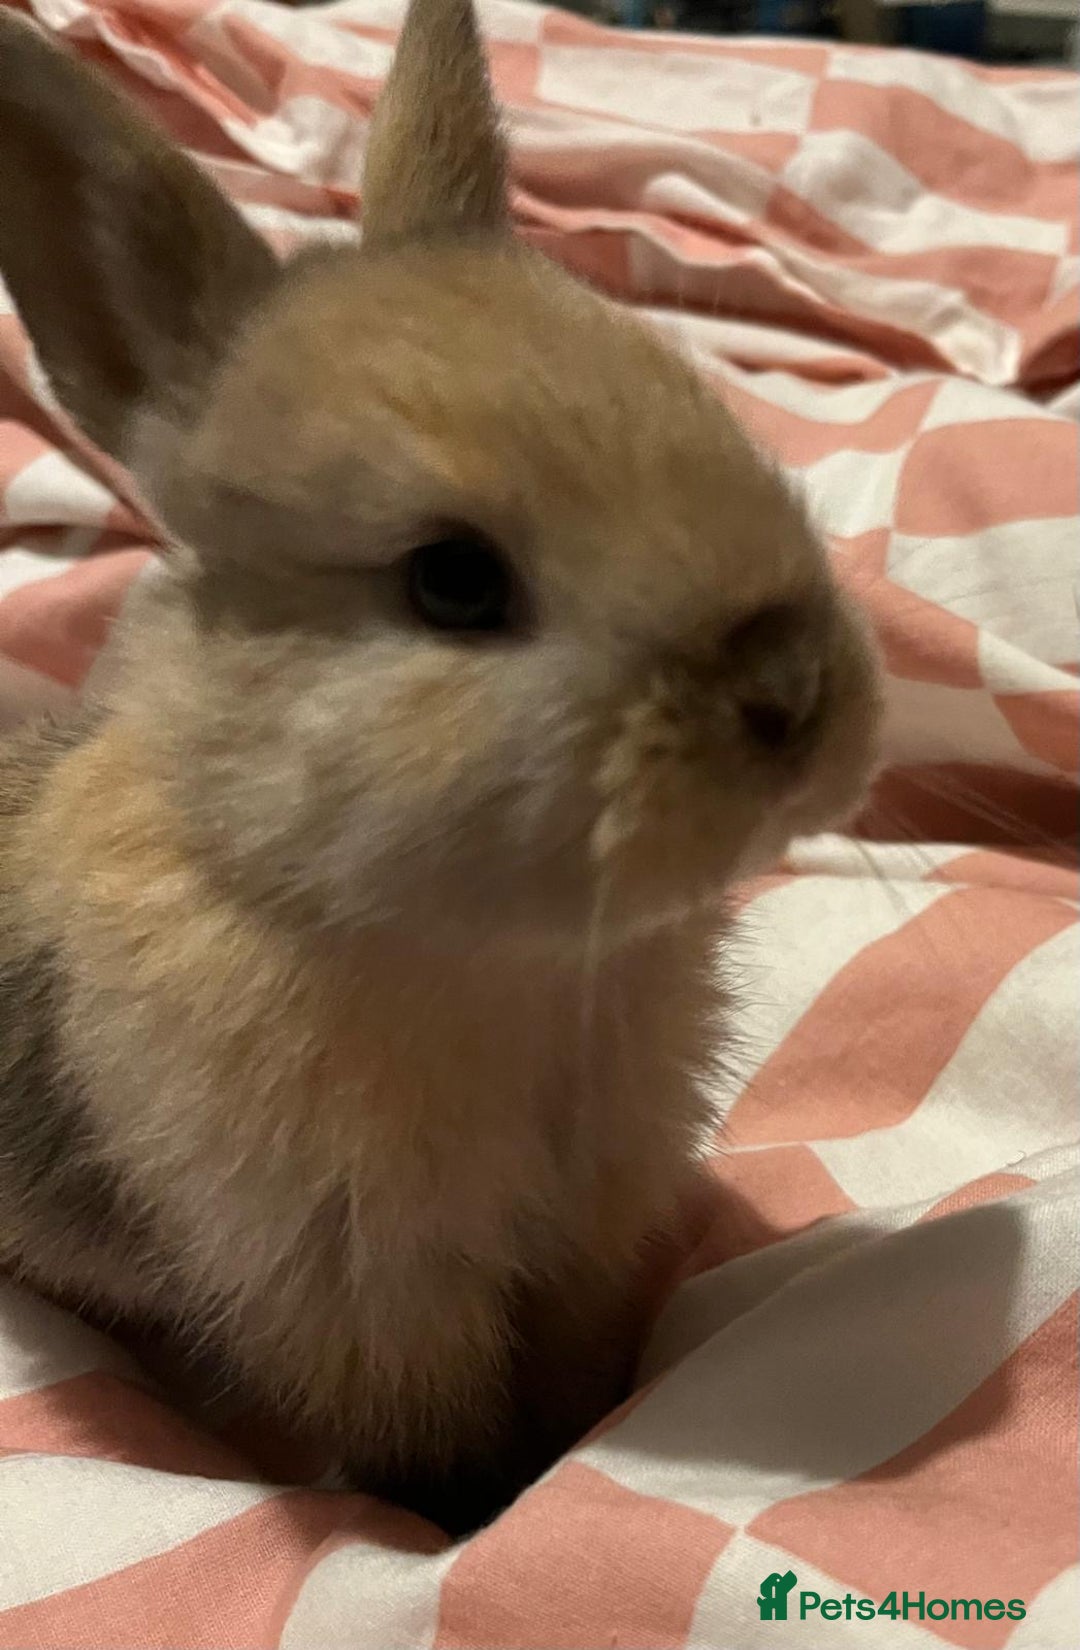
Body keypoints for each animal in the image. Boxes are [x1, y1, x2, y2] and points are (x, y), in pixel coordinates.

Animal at [0, 0, 882, 1534]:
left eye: (705, 404)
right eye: (452, 581)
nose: (794, 699)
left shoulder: (590, 1231)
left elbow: (580, 1366)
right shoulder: (369, 1289)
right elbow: (439, 1446)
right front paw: (471, 1523)